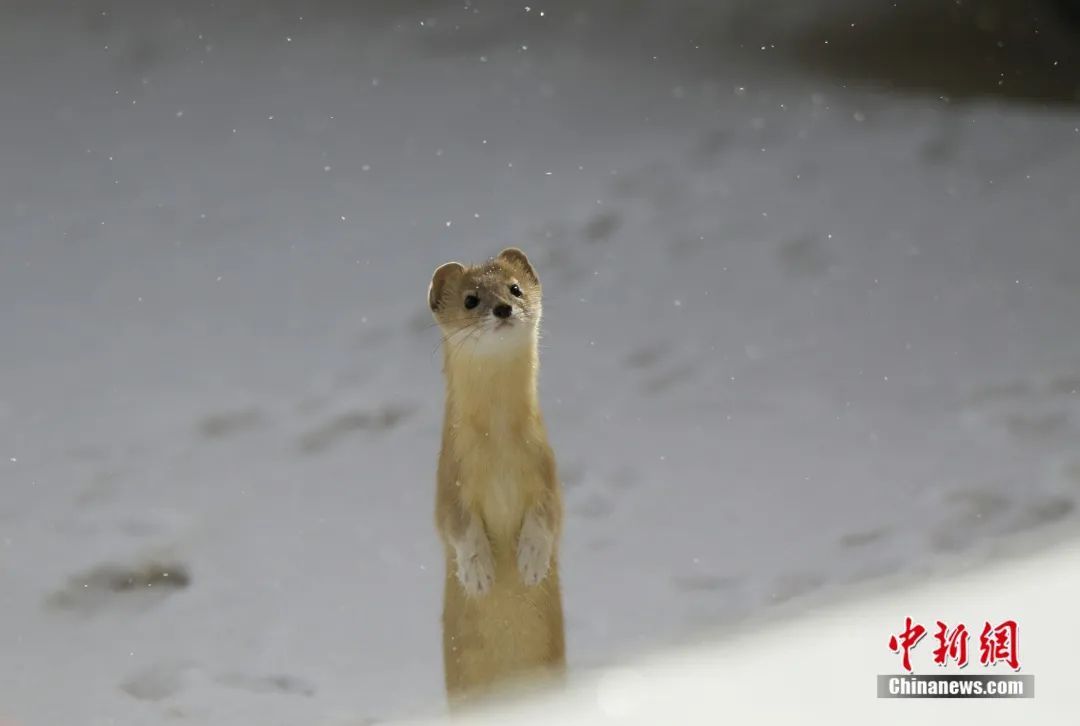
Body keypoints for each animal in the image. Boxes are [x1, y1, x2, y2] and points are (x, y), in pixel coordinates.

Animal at [427, 246, 570, 704]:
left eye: (515, 288)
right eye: (471, 299)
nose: (504, 308)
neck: (500, 452)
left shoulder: (546, 467)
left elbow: (550, 515)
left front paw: (530, 559)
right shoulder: (449, 475)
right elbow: (452, 522)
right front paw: (478, 572)